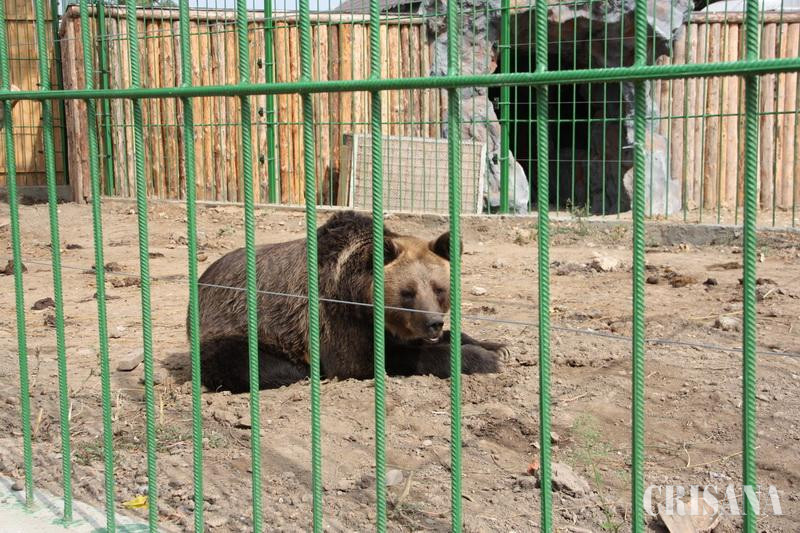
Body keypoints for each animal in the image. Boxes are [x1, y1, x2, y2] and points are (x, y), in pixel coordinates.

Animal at [192, 210, 507, 392]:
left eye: (439, 289)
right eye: (408, 292)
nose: (433, 323)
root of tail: (203, 279)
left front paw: (496, 346)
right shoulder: (335, 315)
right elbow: (366, 361)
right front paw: (482, 358)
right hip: (234, 326)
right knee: (259, 365)